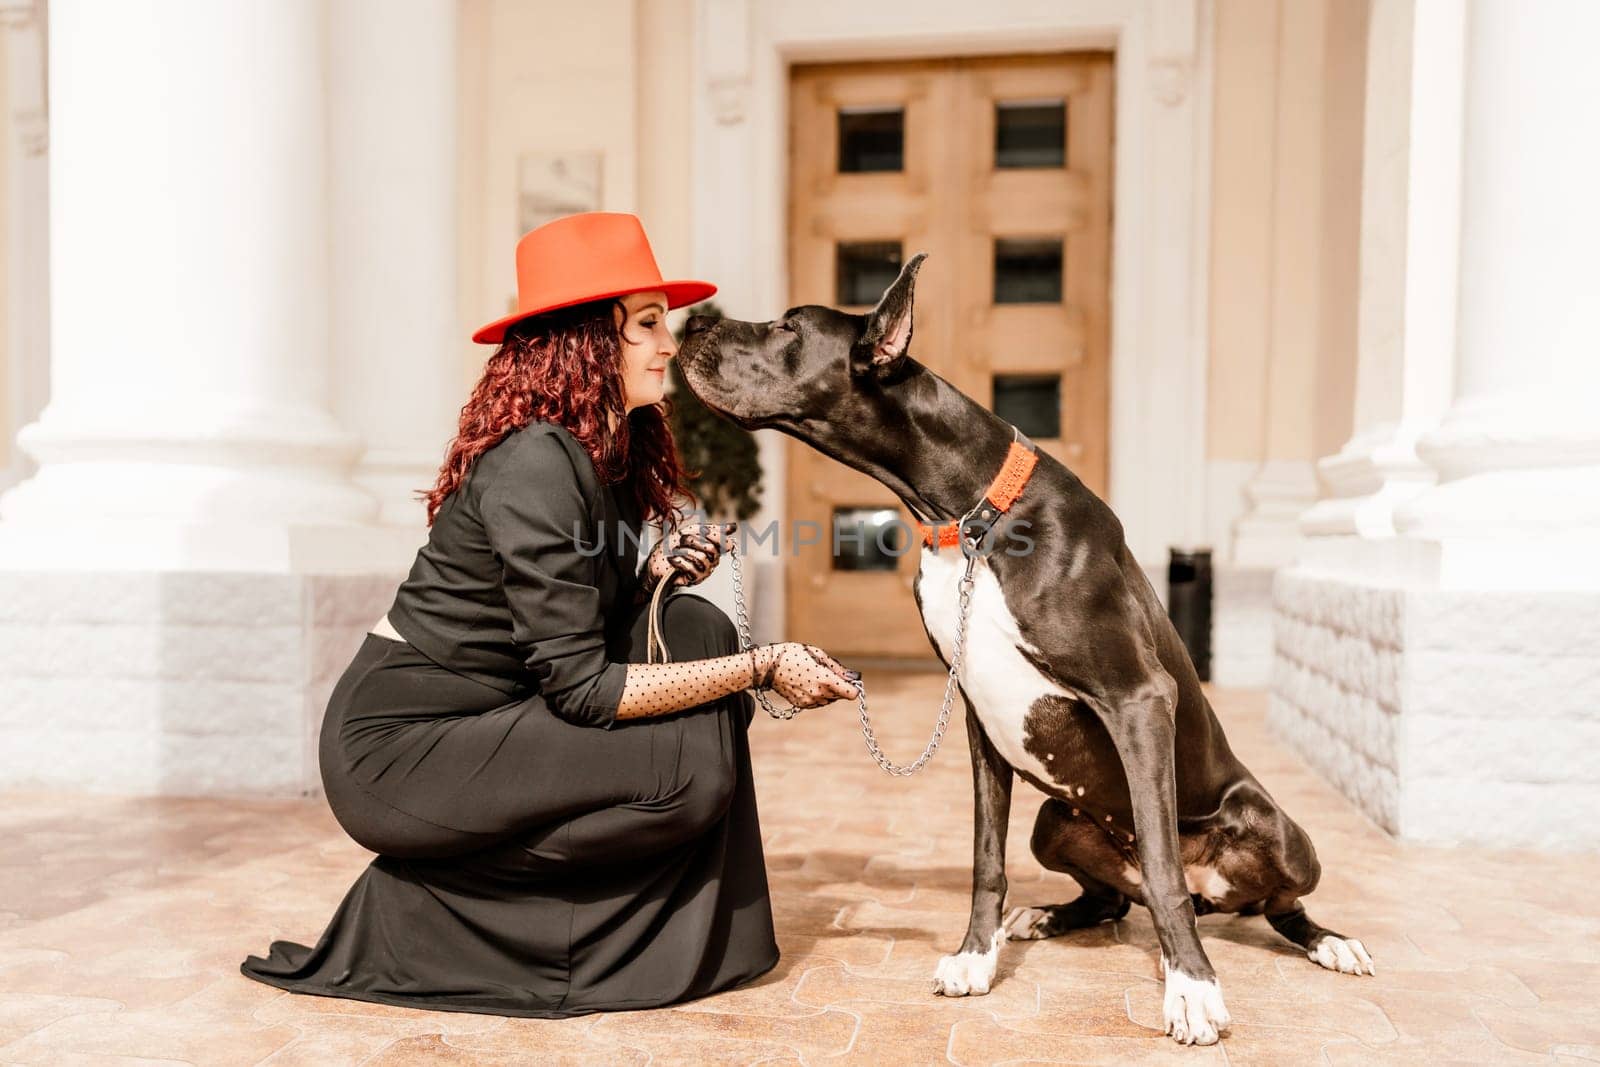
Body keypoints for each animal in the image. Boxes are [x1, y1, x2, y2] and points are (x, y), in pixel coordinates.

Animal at [675, 254, 1376, 1049]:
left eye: (789, 327)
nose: (690, 327)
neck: (970, 517)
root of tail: (1216, 895)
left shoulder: (1139, 698)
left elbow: (1163, 864)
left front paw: (1192, 989)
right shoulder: (981, 720)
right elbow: (987, 856)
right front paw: (977, 956)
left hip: (1279, 832)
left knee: (1265, 902)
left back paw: (1329, 941)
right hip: (1055, 822)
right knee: (1117, 900)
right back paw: (1048, 915)